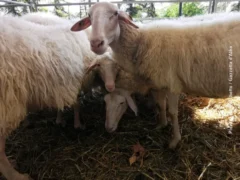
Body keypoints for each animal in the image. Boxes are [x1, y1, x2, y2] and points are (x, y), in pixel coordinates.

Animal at [72, 2, 240, 149]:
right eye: (89, 16)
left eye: (115, 13)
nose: (96, 43)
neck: (140, 42)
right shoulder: (160, 82)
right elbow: (161, 105)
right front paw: (161, 124)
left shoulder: (172, 83)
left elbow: (172, 112)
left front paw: (174, 141)